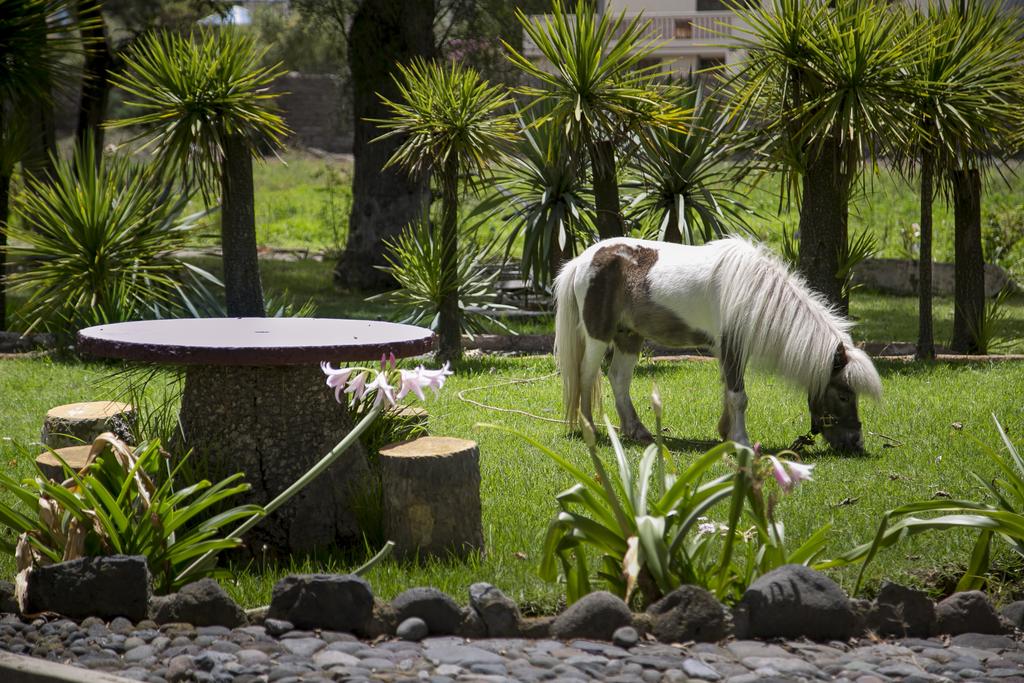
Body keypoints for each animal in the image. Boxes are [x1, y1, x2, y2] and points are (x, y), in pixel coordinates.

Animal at [557, 237, 884, 450]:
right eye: (844, 395)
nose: (855, 442)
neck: (755, 292)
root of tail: (583, 260)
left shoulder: (732, 351)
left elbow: (729, 392)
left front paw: (726, 433)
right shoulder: (731, 347)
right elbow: (739, 396)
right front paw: (741, 441)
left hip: (628, 336)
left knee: (618, 379)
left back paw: (637, 431)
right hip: (598, 336)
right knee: (586, 377)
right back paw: (589, 428)